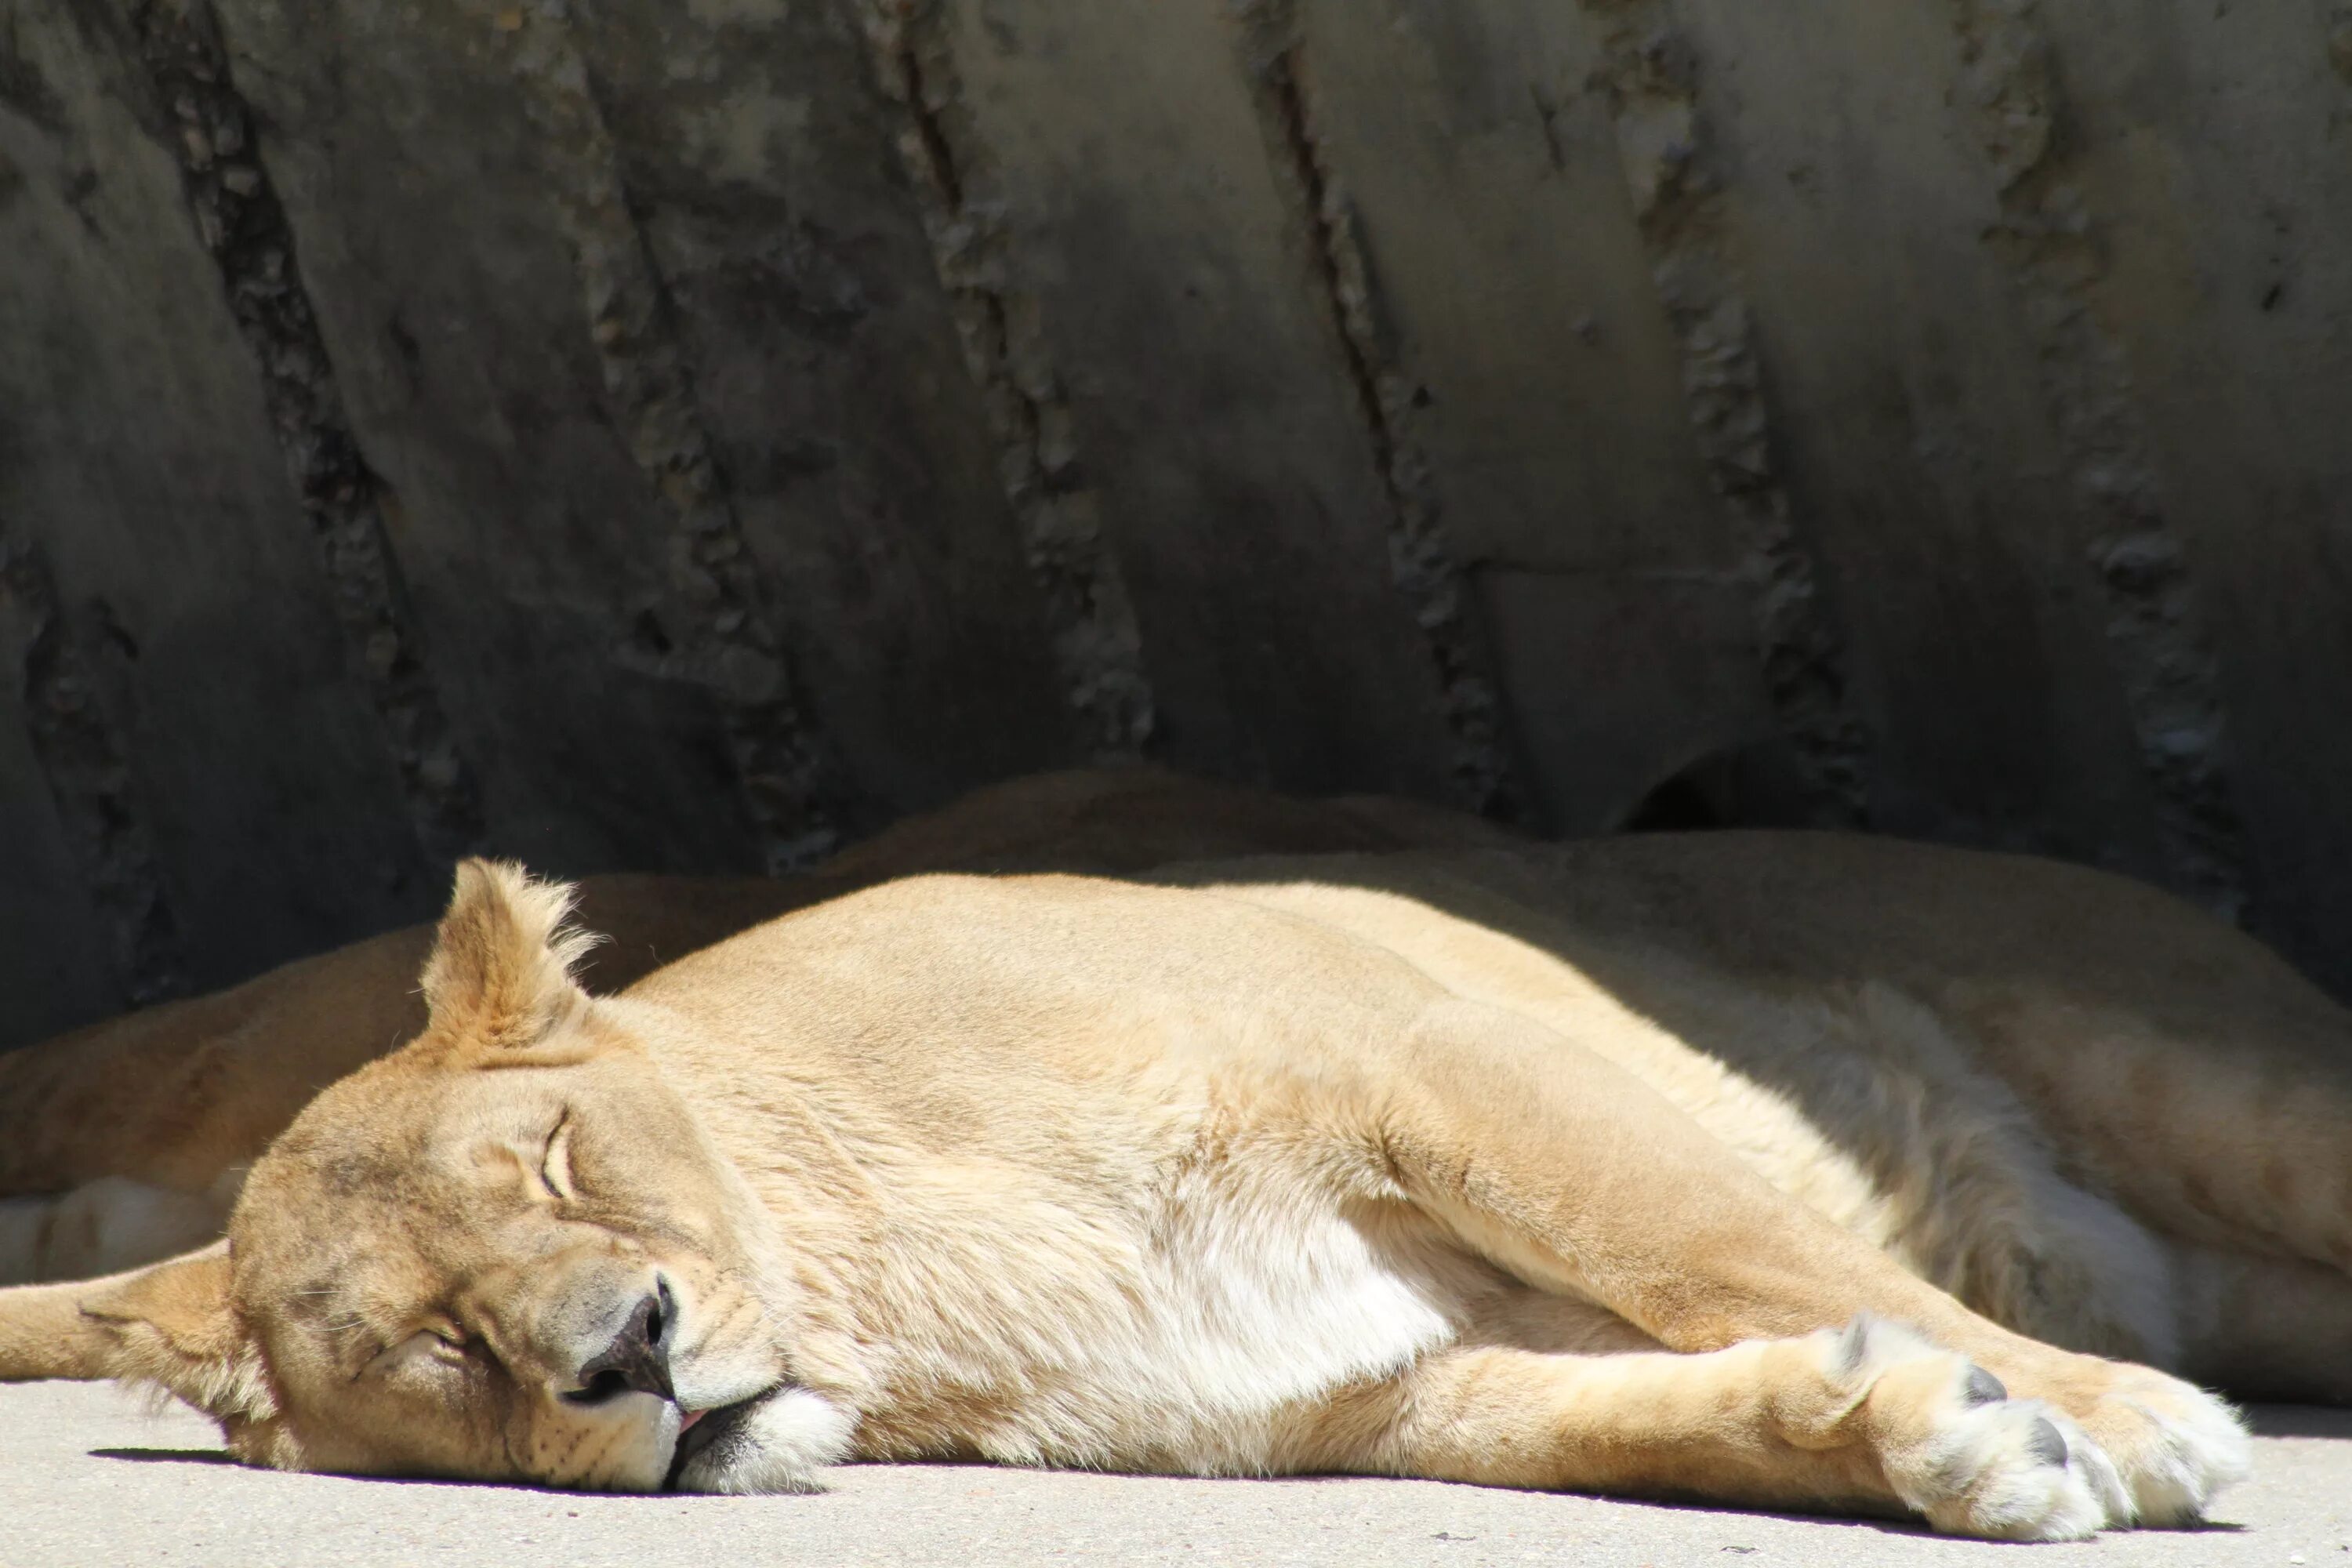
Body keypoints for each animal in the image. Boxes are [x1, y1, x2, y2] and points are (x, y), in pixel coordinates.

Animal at [18, 766, 2352, 1542]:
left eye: (564, 1164)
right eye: (441, 1348)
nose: (634, 1352)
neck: (895, 1280)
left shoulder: (1443, 1054)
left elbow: (1744, 1254)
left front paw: (2110, 1416)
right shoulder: (1371, 1387)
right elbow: (1678, 1411)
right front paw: (1935, 1440)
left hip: (2219, 1087)